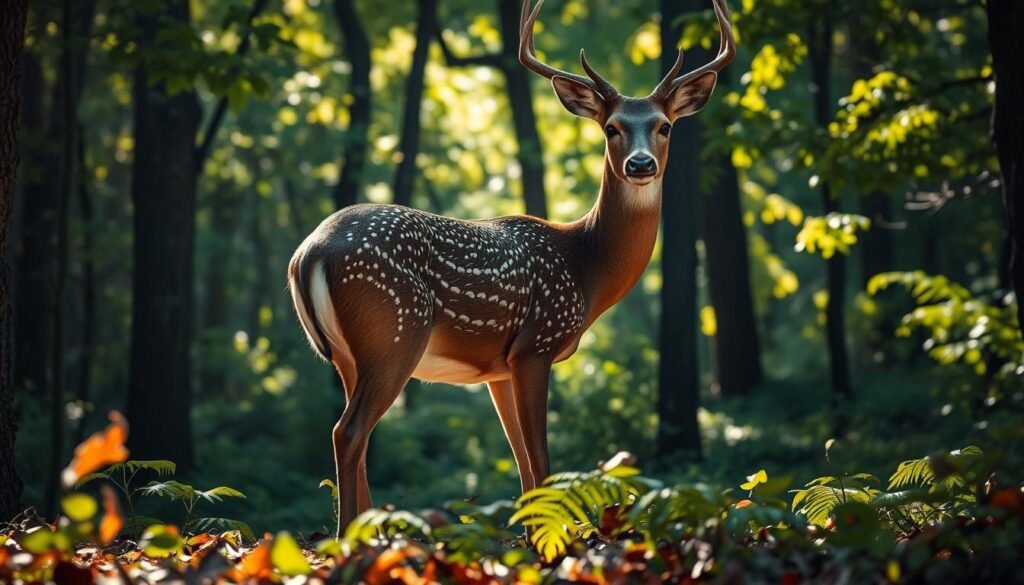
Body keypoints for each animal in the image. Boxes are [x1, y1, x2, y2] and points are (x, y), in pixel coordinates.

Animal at [288, 0, 735, 535]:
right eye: (611, 128)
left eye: (665, 125)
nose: (641, 164)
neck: (585, 264)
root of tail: (310, 252)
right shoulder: (535, 344)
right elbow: (541, 457)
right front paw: (554, 537)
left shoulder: (497, 368)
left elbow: (521, 460)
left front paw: (530, 535)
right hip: (395, 330)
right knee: (349, 432)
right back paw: (348, 538)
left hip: (346, 356)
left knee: (354, 437)